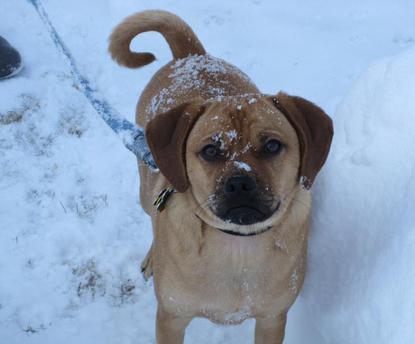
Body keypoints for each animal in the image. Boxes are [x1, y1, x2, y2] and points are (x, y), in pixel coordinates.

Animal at [109, 9, 334, 342]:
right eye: (210, 150)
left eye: (272, 145)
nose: (240, 183)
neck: (237, 250)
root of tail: (192, 56)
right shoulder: (171, 317)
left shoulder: (272, 318)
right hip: (147, 187)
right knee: (152, 211)